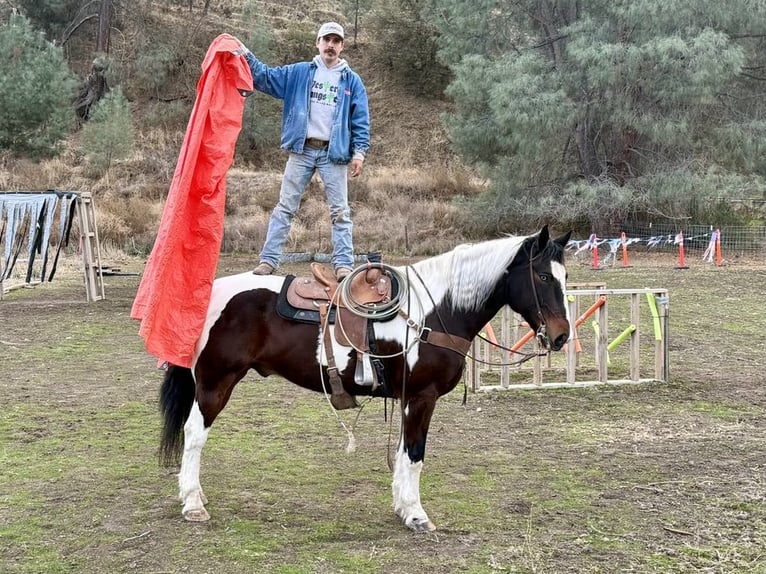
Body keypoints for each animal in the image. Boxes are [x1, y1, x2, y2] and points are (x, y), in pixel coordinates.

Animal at [159, 227, 572, 532]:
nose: (561, 336)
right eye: (542, 275)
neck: (435, 312)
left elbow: (405, 453)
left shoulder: (409, 398)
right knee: (194, 434)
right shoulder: (422, 397)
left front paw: (403, 507)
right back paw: (193, 503)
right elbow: (416, 454)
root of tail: (210, 293)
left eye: (565, 277)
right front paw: (417, 515)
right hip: (215, 383)